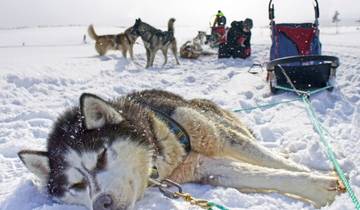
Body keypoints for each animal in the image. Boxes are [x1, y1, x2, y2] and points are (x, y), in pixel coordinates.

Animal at [18, 90, 344, 210]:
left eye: (101, 157)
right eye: (76, 186)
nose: (102, 203)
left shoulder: (216, 138)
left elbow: (274, 163)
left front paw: (329, 178)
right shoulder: (204, 167)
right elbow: (260, 174)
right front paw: (317, 188)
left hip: (219, 125)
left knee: (258, 145)